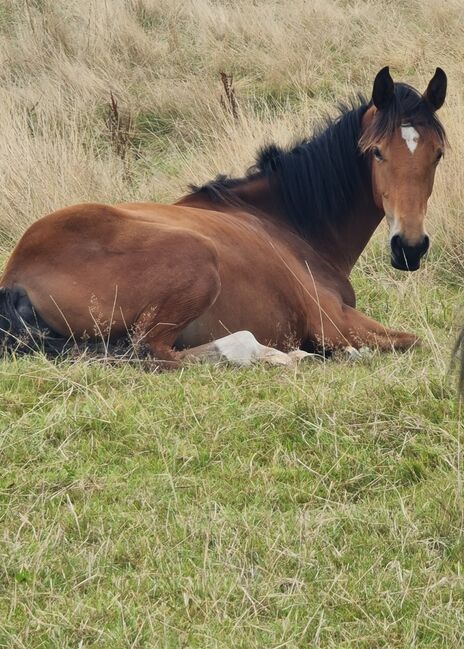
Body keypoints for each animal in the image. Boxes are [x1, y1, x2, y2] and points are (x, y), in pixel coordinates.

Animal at [0, 68, 448, 368]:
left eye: (438, 153)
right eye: (377, 152)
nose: (409, 248)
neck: (287, 222)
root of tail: (16, 274)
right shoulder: (334, 324)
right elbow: (410, 341)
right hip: (194, 260)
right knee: (153, 351)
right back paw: (269, 354)